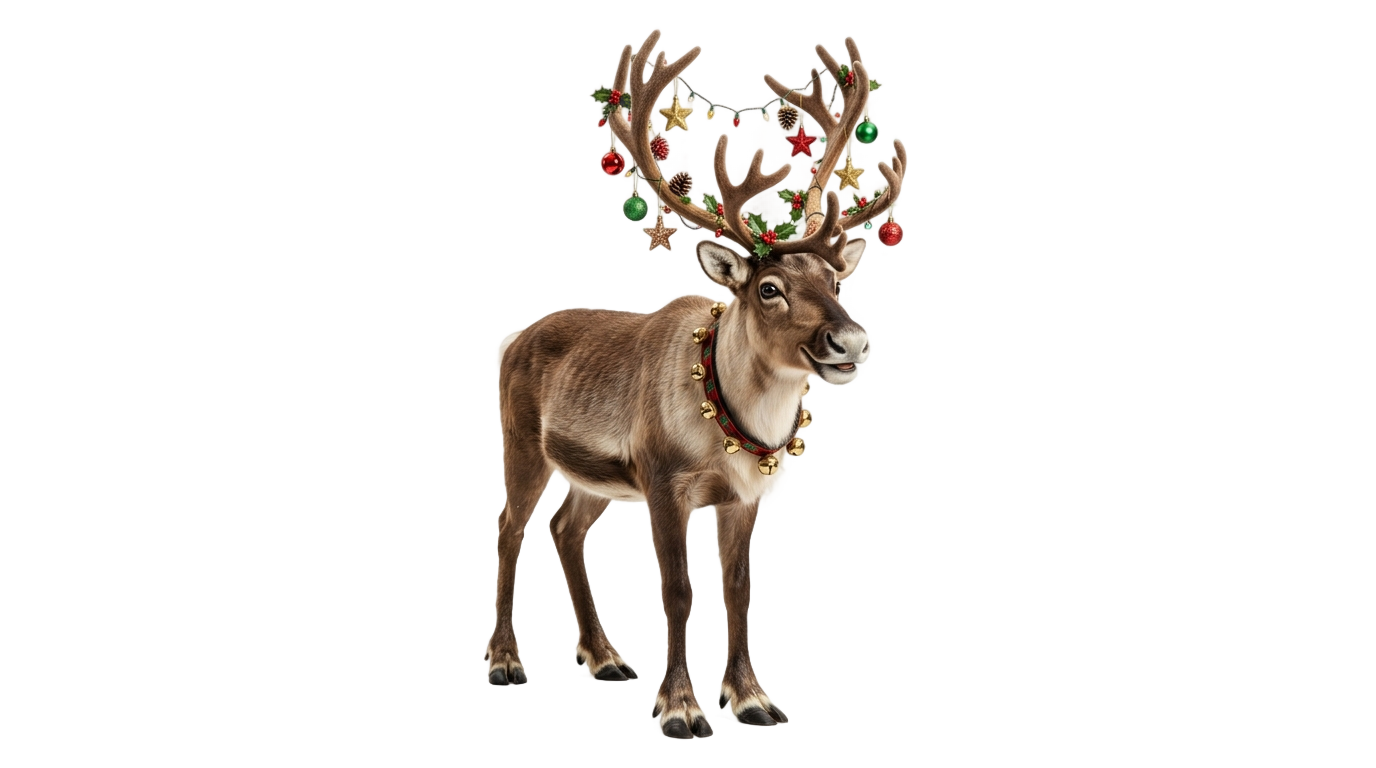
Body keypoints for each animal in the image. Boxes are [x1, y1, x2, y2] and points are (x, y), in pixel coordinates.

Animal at [483, 31, 909, 739]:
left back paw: (604, 658)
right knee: (509, 528)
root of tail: (512, 340)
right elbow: (678, 589)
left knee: (565, 529)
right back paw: (504, 662)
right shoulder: (660, 478)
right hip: (520, 441)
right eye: (769, 288)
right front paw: (679, 707)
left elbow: (738, 588)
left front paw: (751, 699)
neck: (730, 426)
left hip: (595, 478)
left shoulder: (745, 494)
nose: (850, 342)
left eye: (836, 281)